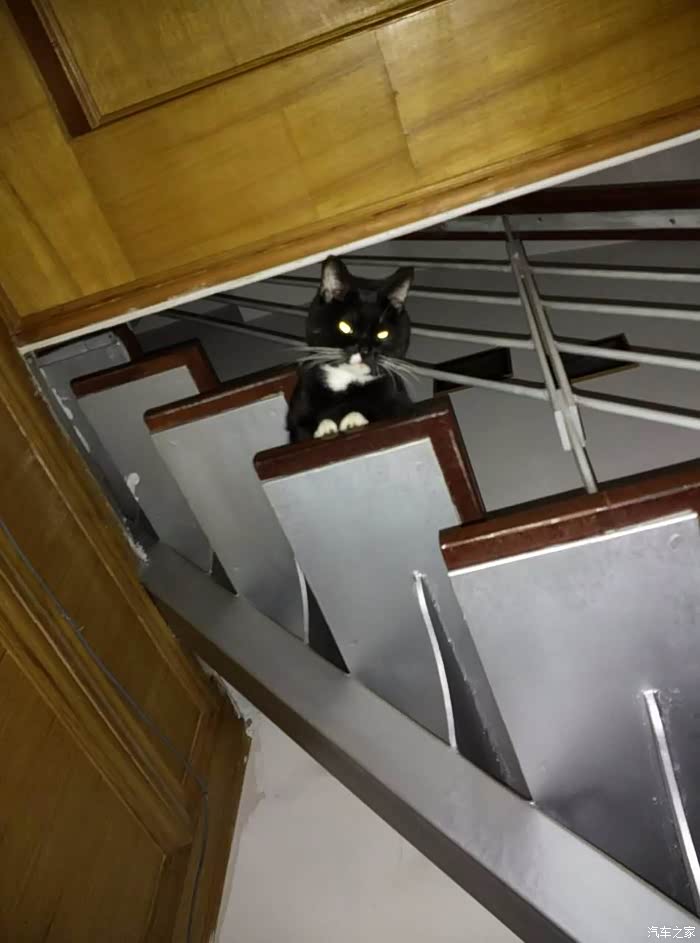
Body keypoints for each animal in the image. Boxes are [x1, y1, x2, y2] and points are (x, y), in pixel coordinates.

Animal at [287, 256, 415, 443]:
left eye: (383, 333)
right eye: (345, 326)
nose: (365, 349)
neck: (344, 380)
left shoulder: (400, 401)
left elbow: (385, 410)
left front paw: (352, 419)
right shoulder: (298, 411)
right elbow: (302, 428)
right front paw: (325, 427)